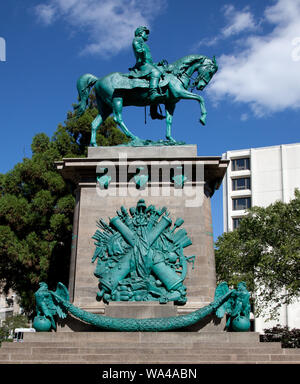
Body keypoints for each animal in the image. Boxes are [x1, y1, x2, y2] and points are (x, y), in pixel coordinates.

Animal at [75, 55, 218, 147]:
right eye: (210, 71)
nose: (201, 86)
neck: (176, 74)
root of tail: (98, 80)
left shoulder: (170, 103)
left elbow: (169, 121)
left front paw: (171, 139)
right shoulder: (180, 93)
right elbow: (200, 98)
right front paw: (203, 118)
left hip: (105, 107)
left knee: (95, 123)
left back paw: (94, 144)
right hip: (116, 100)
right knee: (118, 119)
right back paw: (135, 138)